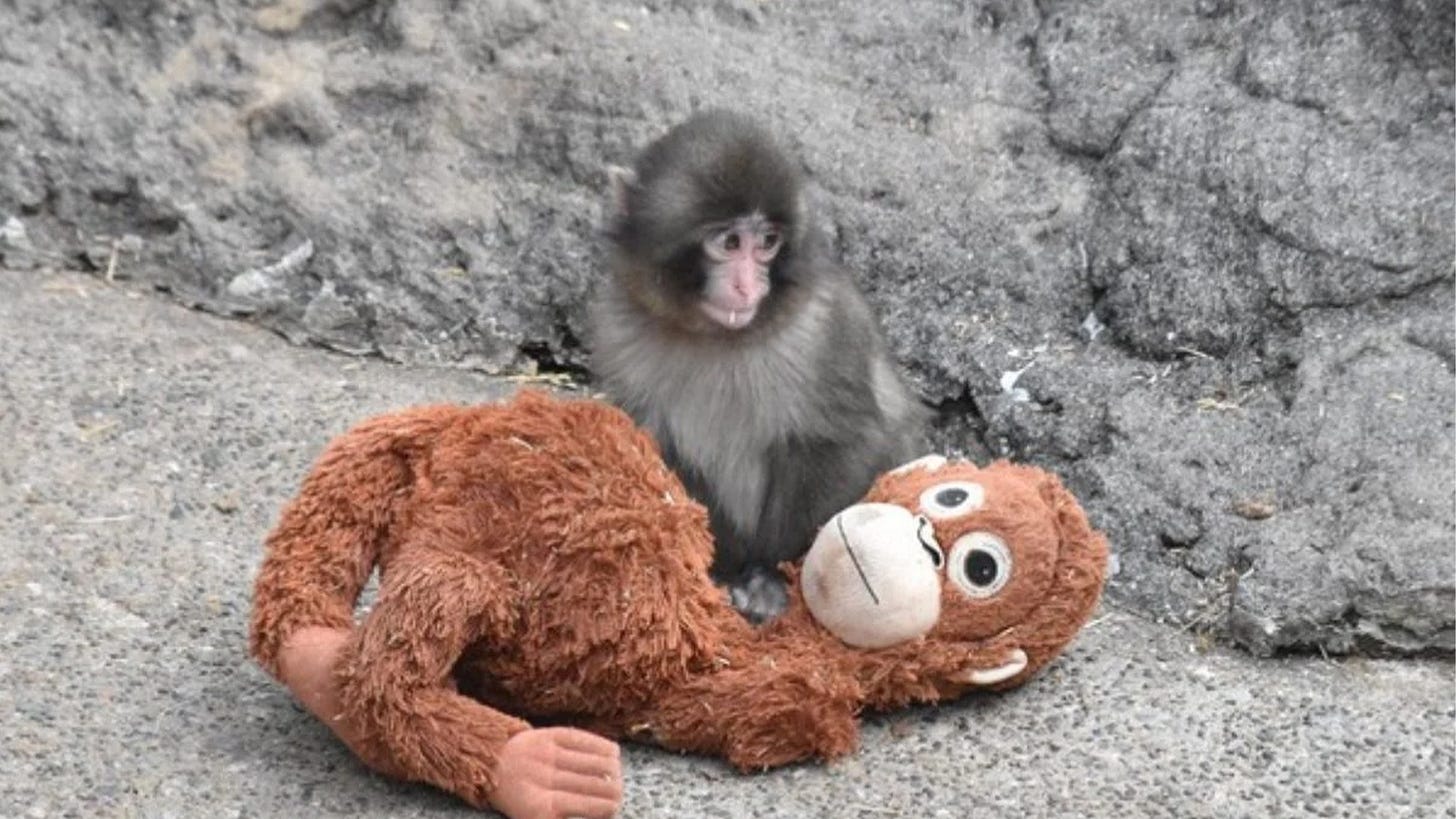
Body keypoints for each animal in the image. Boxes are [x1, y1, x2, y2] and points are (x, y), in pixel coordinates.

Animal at [588, 110, 930, 623]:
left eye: (767, 243)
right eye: (730, 242)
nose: (748, 287)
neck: (716, 337)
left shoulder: (825, 327)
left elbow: (844, 441)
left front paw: (767, 577)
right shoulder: (617, 329)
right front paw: (719, 568)